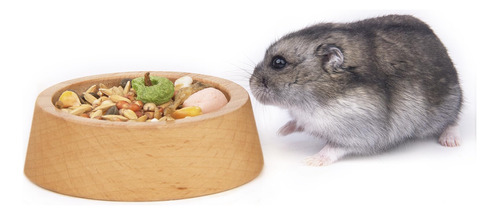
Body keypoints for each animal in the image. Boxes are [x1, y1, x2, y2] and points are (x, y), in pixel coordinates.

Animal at [248, 14, 462, 166]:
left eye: (278, 62)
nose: (250, 84)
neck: (307, 100)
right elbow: (298, 122)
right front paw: (281, 131)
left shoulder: (361, 133)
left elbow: (333, 147)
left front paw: (310, 161)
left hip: (447, 106)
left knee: (453, 121)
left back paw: (450, 141)